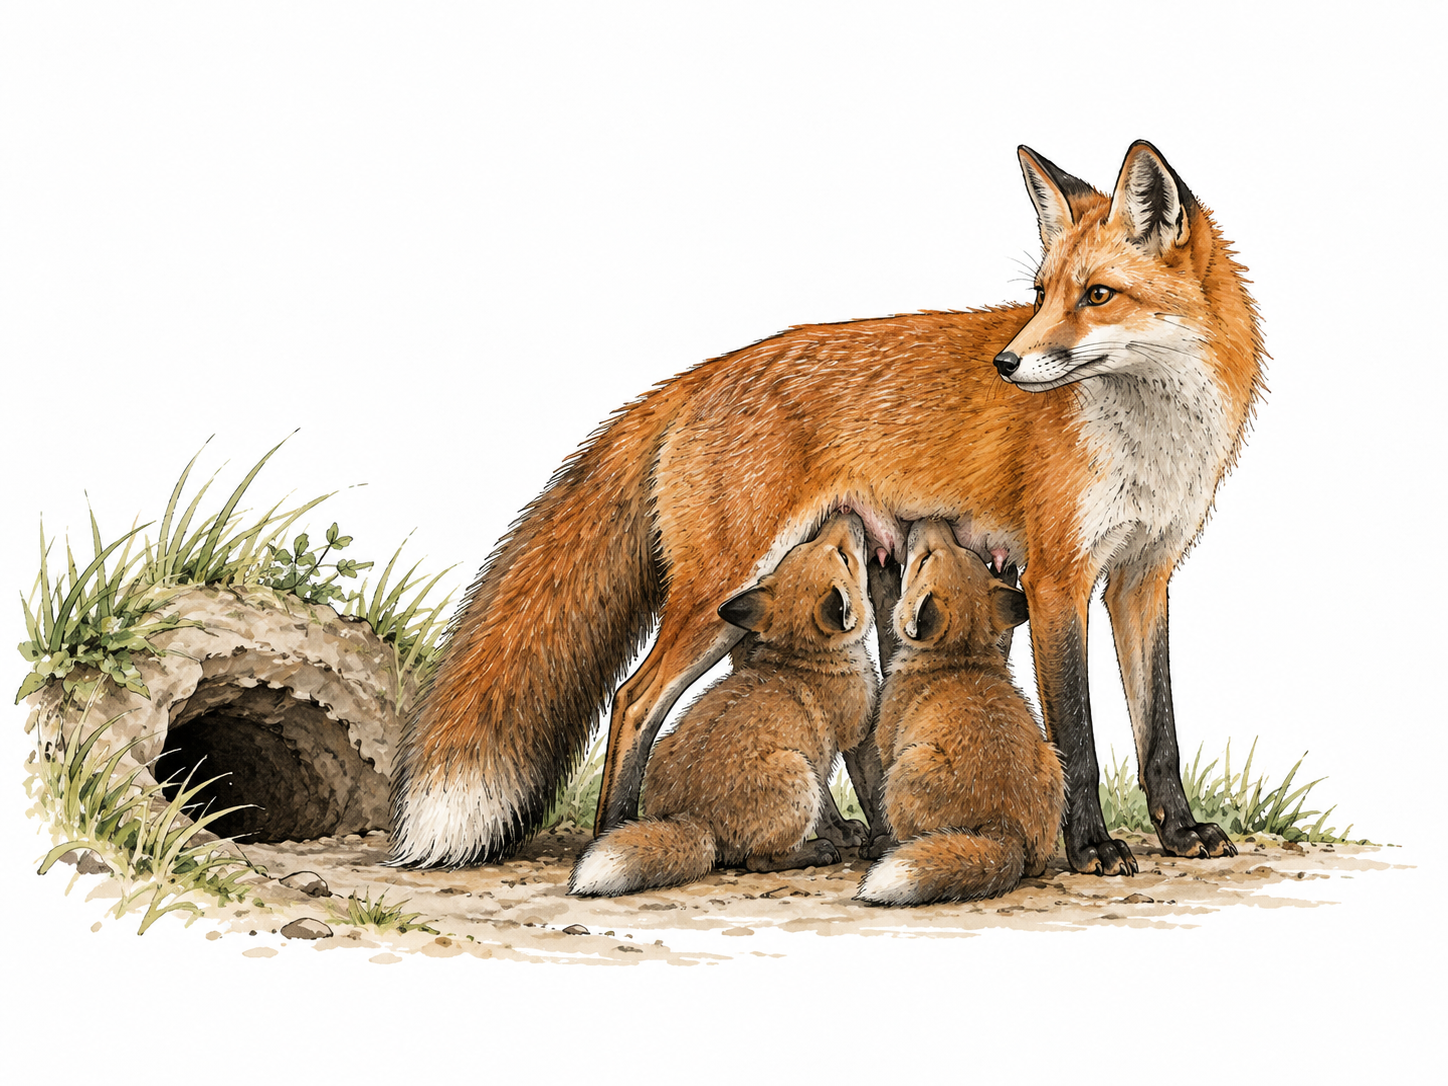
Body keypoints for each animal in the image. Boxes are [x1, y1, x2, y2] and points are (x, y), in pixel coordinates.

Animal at [569, 513, 874, 896]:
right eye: (844, 556)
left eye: (808, 545)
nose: (847, 514)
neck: (802, 656)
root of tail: (696, 818)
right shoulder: (840, 745)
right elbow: (835, 799)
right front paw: (844, 834)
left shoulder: (820, 758)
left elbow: (829, 807)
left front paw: (844, 830)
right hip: (796, 773)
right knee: (758, 861)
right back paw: (816, 852)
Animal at [855, 519, 1065, 906]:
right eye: (965, 551)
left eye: (923, 560)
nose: (931, 520)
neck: (960, 654)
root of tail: (1004, 827)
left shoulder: (886, 745)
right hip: (1053, 759)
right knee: (1037, 865)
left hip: (906, 766)